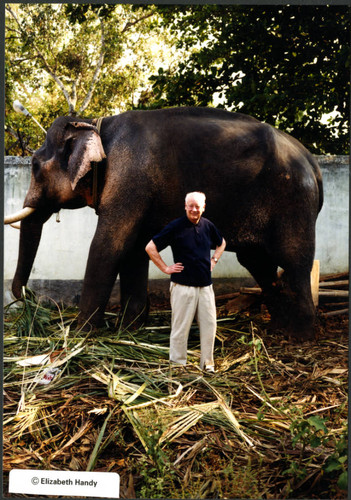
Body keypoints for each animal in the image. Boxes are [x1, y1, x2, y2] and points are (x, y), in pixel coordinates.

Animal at [5, 106, 324, 340]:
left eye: (34, 166)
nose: (30, 301)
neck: (96, 123)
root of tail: (312, 161)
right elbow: (135, 248)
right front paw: (129, 328)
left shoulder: (129, 178)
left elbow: (109, 245)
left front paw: (80, 335)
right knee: (258, 263)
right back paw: (278, 327)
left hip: (293, 199)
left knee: (294, 260)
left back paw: (300, 335)